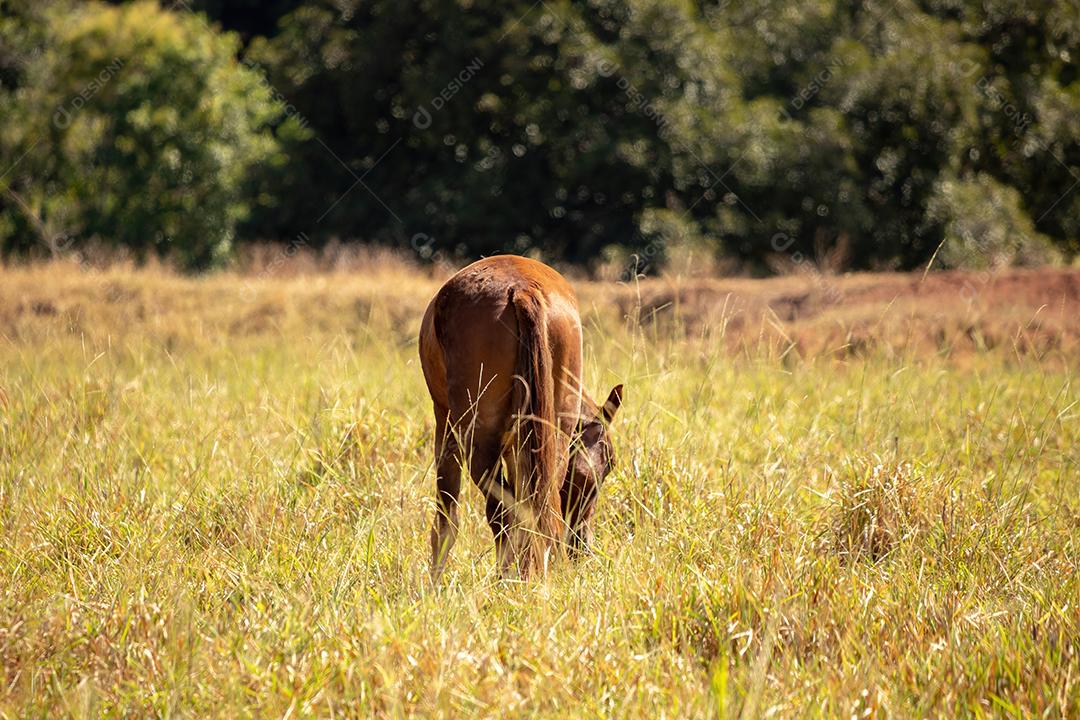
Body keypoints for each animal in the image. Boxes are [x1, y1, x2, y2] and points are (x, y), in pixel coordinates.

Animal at [421, 254, 626, 578]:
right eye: (608, 467)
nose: (581, 546)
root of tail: (522, 289)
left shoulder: (446, 426)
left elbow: (446, 522)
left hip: (479, 440)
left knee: (502, 515)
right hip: (550, 436)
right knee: (534, 509)